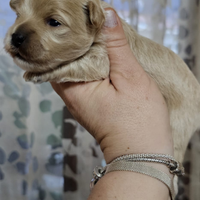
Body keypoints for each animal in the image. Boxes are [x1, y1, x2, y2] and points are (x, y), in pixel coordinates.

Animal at [3, 0, 200, 194]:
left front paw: (38, 74)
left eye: (54, 22)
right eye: (18, 15)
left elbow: (70, 65)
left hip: (179, 126)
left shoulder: (100, 61)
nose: (15, 37)